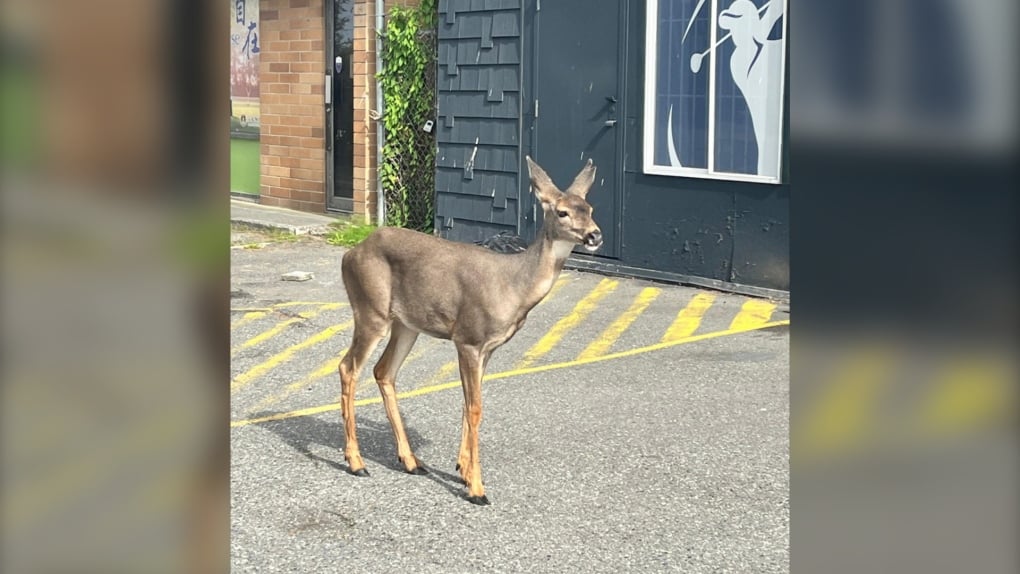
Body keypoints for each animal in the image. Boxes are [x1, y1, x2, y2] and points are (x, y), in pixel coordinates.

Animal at [338, 154, 599, 505]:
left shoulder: (487, 348)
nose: (595, 236)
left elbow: (467, 403)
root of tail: (350, 253)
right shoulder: (469, 338)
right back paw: (356, 462)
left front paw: (462, 469)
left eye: (590, 208)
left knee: (383, 371)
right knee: (348, 367)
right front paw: (477, 488)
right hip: (370, 310)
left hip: (406, 323)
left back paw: (410, 460)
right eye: (562, 212)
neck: (513, 286)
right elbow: (475, 408)